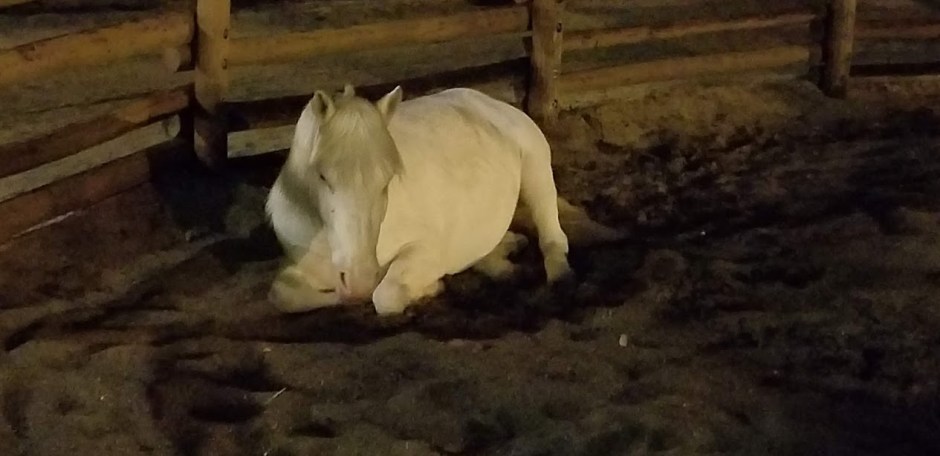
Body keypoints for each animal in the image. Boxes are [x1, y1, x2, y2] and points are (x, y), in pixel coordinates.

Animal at [265, 84, 618, 316]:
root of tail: (492, 103)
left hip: (537, 171)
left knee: (551, 235)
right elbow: (283, 295)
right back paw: (504, 257)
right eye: (322, 175)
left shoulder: (424, 250)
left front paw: (430, 287)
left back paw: (558, 276)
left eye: (389, 178)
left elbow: (386, 296)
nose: (359, 278)